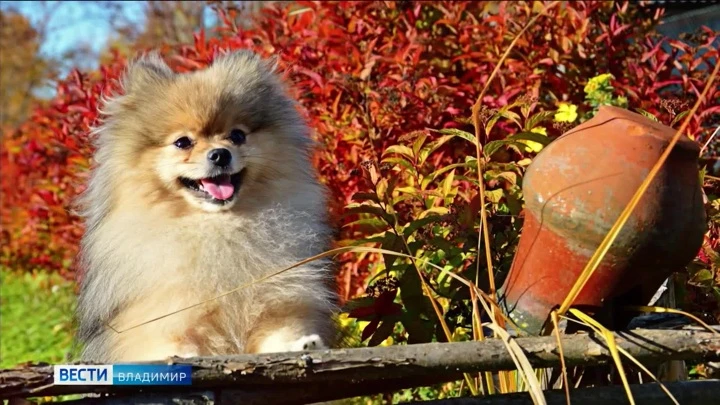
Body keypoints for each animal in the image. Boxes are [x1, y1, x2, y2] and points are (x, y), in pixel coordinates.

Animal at [74, 49, 338, 362]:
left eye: (237, 135)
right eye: (183, 142)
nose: (220, 154)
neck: (217, 226)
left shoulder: (280, 302)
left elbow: (280, 332)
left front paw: (302, 344)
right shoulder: (159, 320)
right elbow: (173, 345)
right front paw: (178, 356)